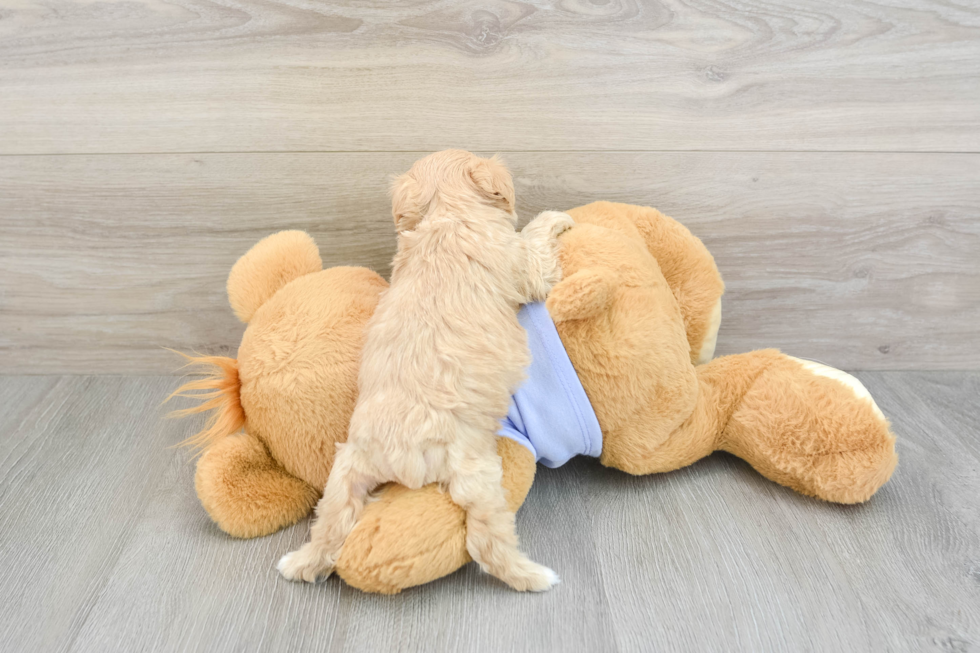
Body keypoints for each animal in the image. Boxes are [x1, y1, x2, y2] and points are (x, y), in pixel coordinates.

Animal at [278, 150, 576, 588]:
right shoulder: (524, 264)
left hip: (345, 468)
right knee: (486, 546)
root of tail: (395, 452)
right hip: (477, 473)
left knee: (332, 526)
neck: (447, 213)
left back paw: (300, 563)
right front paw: (557, 218)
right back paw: (533, 576)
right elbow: (536, 243)